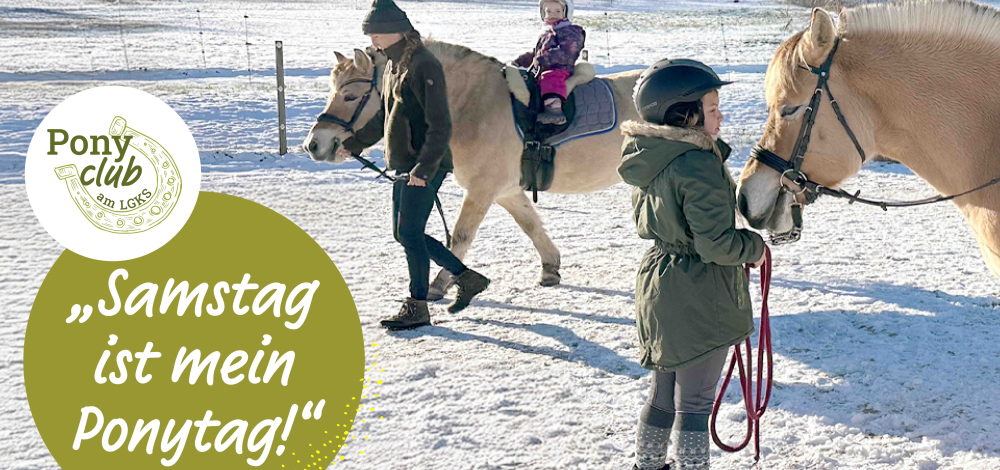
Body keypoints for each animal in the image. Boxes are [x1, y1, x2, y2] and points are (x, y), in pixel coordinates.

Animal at [302, 40, 640, 298]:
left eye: (350, 95)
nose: (313, 144)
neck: (476, 104)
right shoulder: (506, 192)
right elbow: (531, 226)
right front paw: (550, 268)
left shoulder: (482, 190)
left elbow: (460, 237)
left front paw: (441, 283)